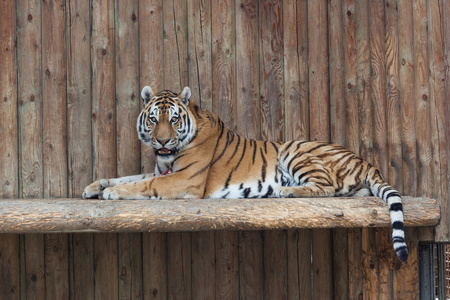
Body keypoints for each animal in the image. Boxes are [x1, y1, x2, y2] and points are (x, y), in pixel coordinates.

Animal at [82, 85, 410, 262]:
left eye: (174, 120)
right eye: (153, 120)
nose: (162, 141)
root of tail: (363, 160)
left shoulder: (184, 180)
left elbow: (141, 185)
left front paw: (111, 193)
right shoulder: (161, 170)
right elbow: (129, 176)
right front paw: (93, 187)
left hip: (294, 147)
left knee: (326, 187)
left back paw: (285, 190)